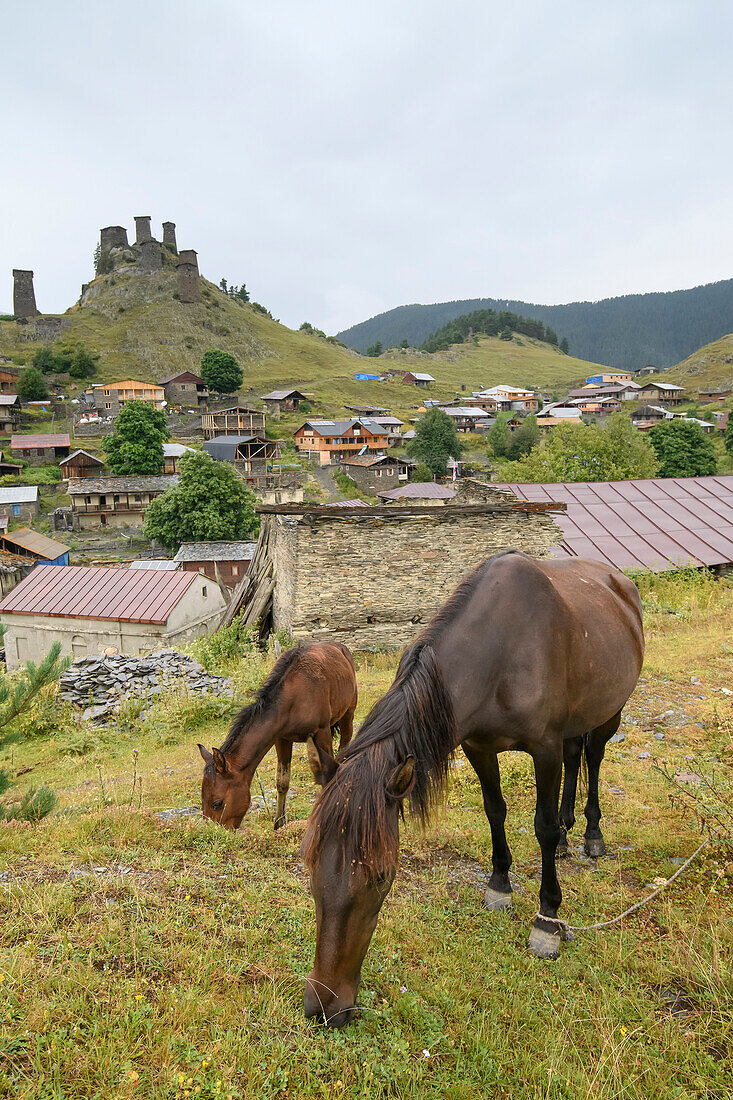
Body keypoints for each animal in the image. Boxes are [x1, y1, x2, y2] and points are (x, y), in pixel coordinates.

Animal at [197, 642, 356, 827]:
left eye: (217, 803)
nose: (215, 831)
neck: (293, 699)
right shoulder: (281, 739)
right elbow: (282, 781)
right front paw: (279, 822)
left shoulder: (322, 733)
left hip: (348, 714)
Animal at [299, 554, 642, 1025]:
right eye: (311, 863)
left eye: (382, 876)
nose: (323, 1006)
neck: (500, 653)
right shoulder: (478, 746)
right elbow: (494, 810)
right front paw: (499, 884)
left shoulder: (544, 749)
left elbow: (542, 827)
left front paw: (547, 920)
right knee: (576, 757)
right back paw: (570, 837)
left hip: (610, 711)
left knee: (592, 757)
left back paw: (591, 835)